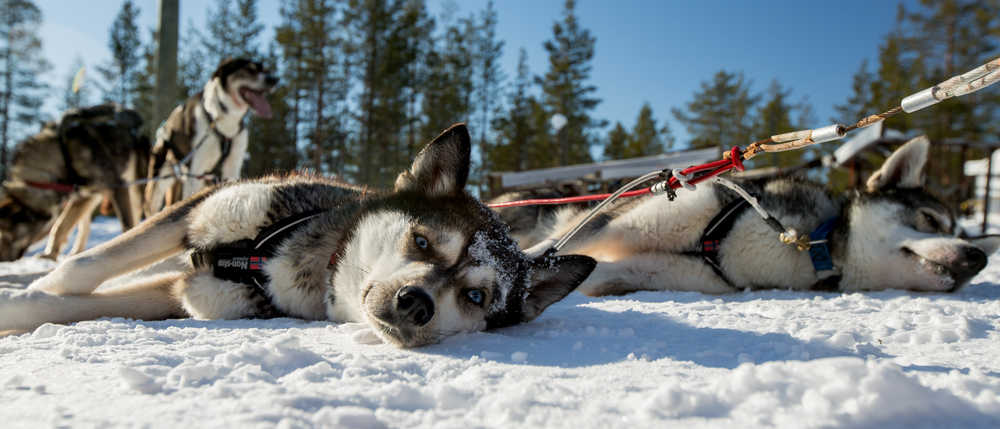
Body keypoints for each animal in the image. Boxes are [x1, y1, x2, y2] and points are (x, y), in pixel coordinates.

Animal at [0, 105, 148, 262]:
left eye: (7, 233)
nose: (1, 259)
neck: (63, 154)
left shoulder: (117, 186)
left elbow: (127, 225)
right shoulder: (82, 196)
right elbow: (60, 227)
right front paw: (50, 255)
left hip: (135, 187)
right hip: (92, 196)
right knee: (84, 227)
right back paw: (76, 253)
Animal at [1, 123, 592, 348]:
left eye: (475, 297)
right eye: (422, 241)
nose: (416, 302)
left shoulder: (189, 295)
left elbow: (77, 301)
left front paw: (22, 306)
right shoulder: (196, 214)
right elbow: (83, 266)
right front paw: (31, 290)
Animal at [144, 56, 278, 216]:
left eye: (264, 70)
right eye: (249, 69)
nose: (274, 79)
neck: (223, 118)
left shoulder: (232, 164)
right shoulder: (196, 169)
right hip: (159, 179)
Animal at [508, 137, 1000, 294]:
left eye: (967, 236)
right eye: (932, 220)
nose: (977, 258)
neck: (810, 243)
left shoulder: (644, 270)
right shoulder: (618, 222)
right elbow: (546, 252)